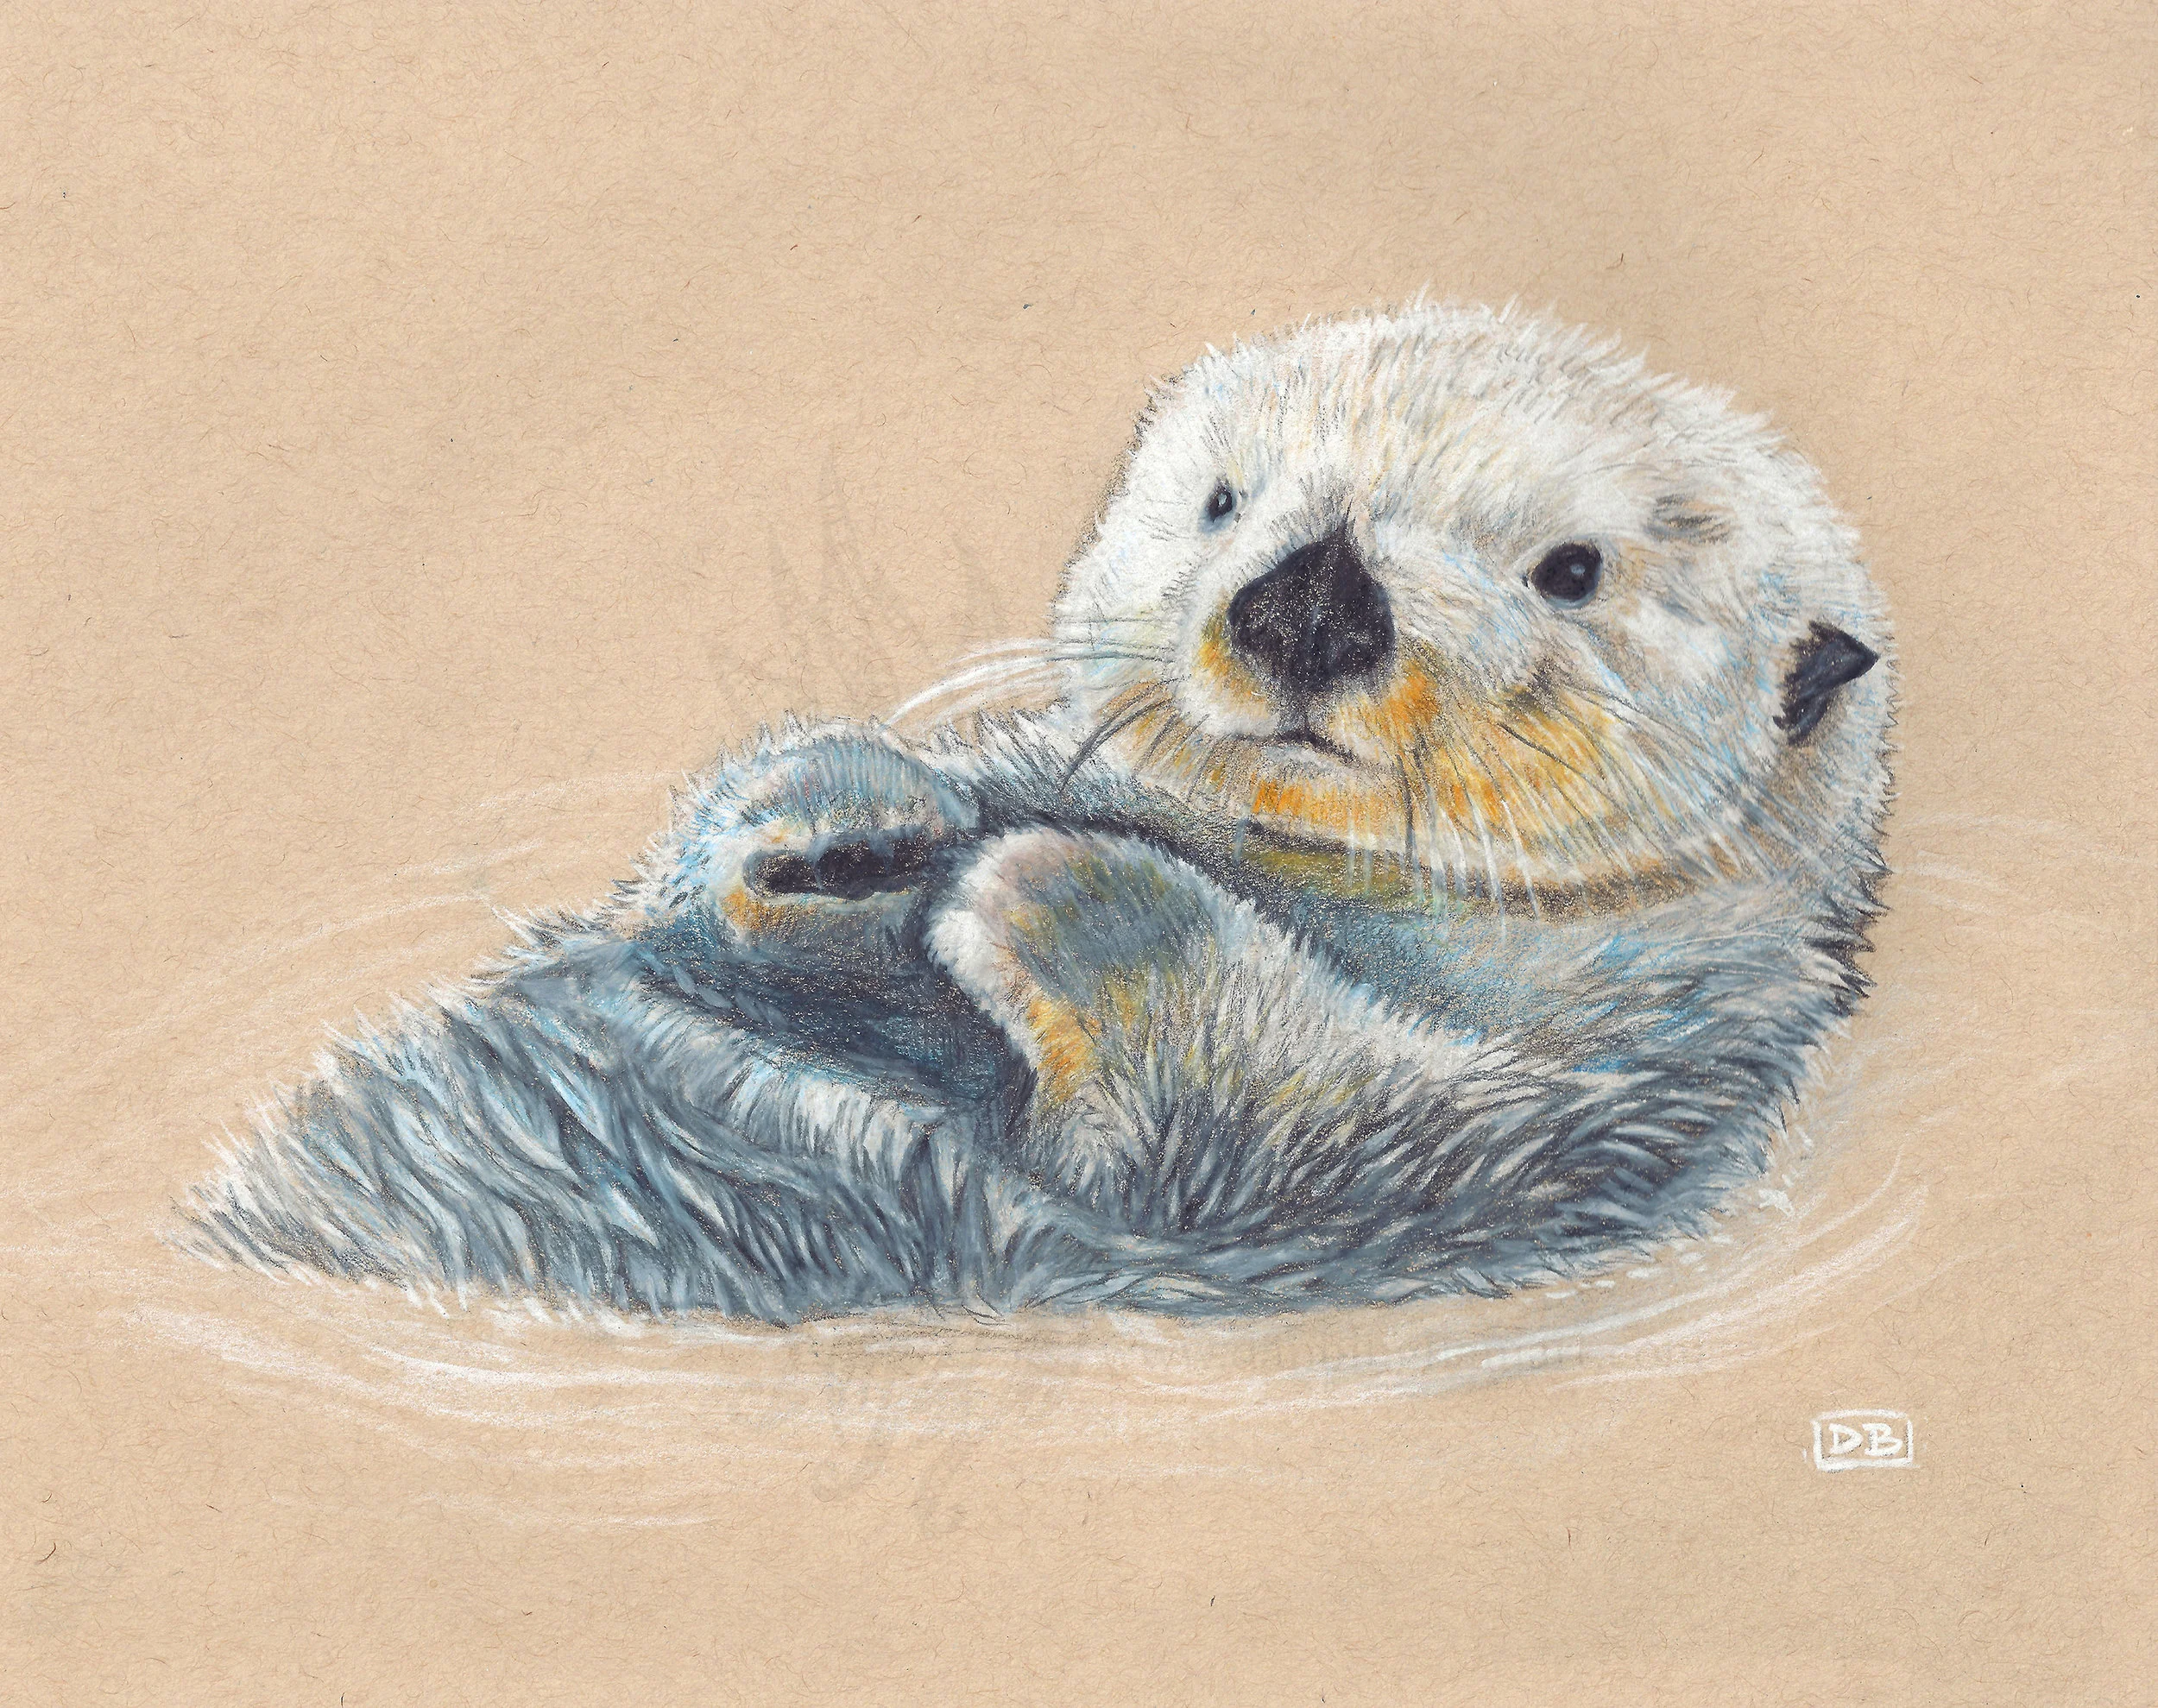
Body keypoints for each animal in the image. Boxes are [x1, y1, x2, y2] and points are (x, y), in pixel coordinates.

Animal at [183, 302, 1894, 1320]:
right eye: (1224, 498)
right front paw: (843, 808)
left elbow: (1284, 1121)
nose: (1308, 596)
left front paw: (1055, 886)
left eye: (1573, 568)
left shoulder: (1589, 1098)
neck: (1289, 863)